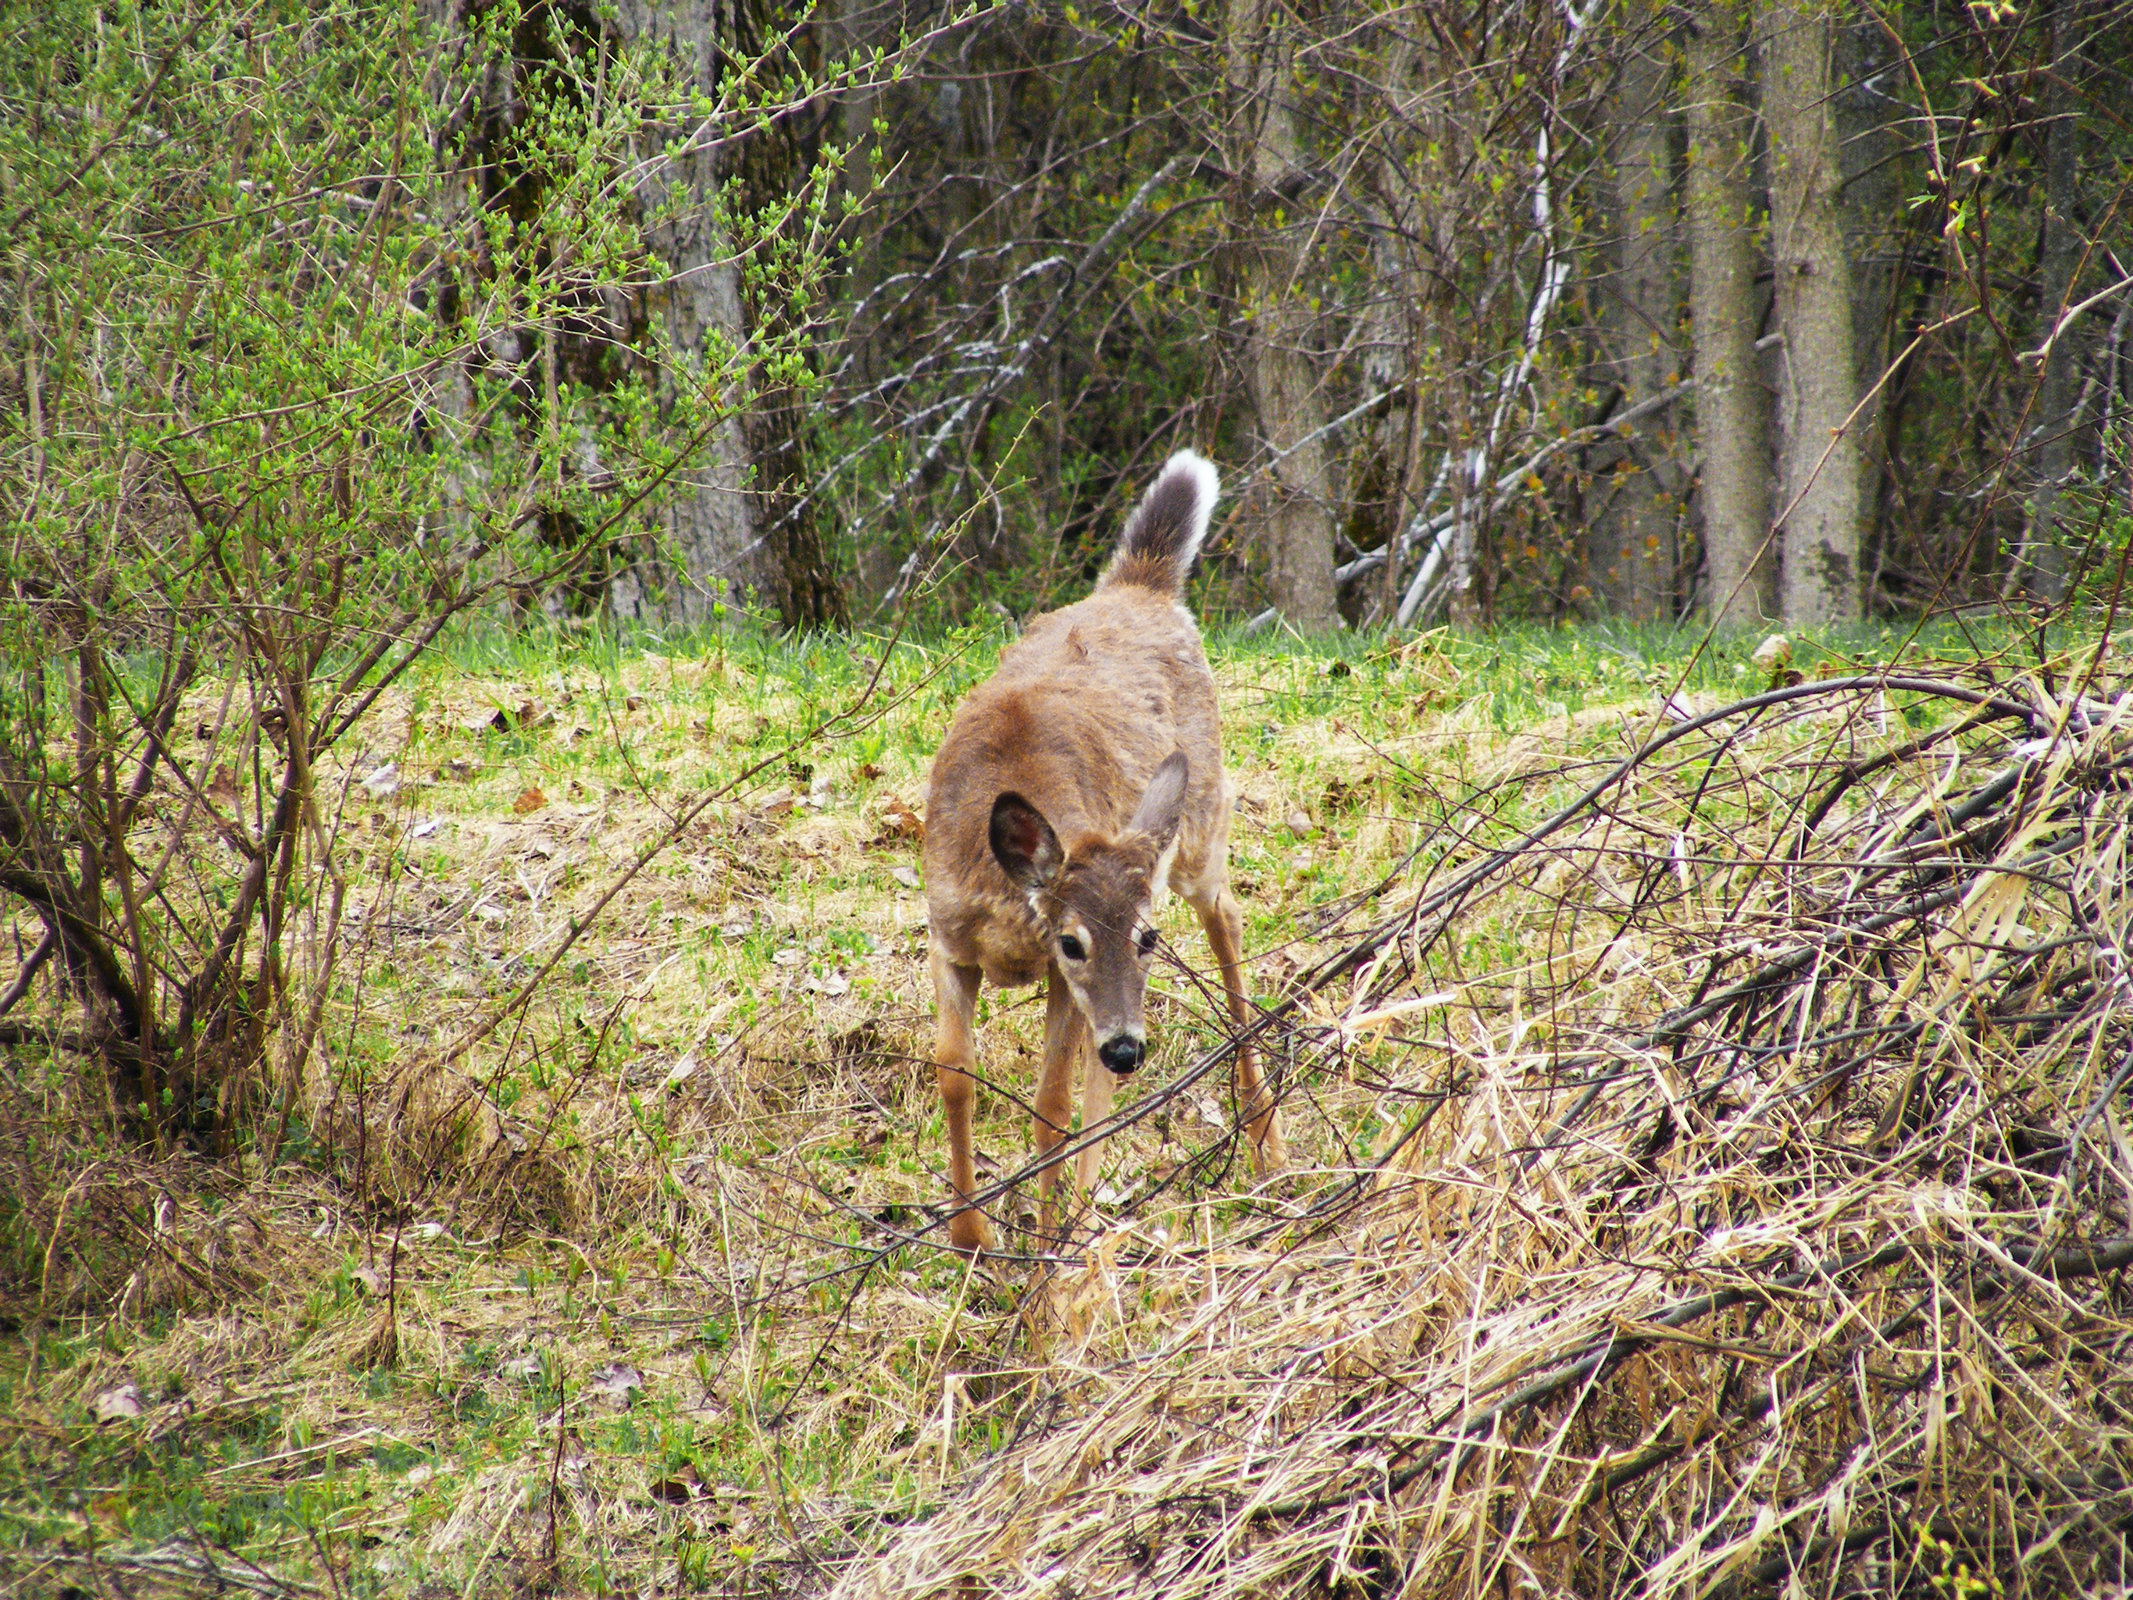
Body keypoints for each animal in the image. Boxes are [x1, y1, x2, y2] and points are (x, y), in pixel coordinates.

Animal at [922, 450, 1286, 1254]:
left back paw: (1264, 1148)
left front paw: (1043, 1251)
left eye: (1148, 937)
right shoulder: (946, 937)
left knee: (1227, 920)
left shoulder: (1069, 986)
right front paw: (970, 1236)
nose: (1129, 1049)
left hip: (1198, 823)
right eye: (1071, 940)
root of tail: (1142, 584)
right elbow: (955, 1076)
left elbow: (1051, 1105)